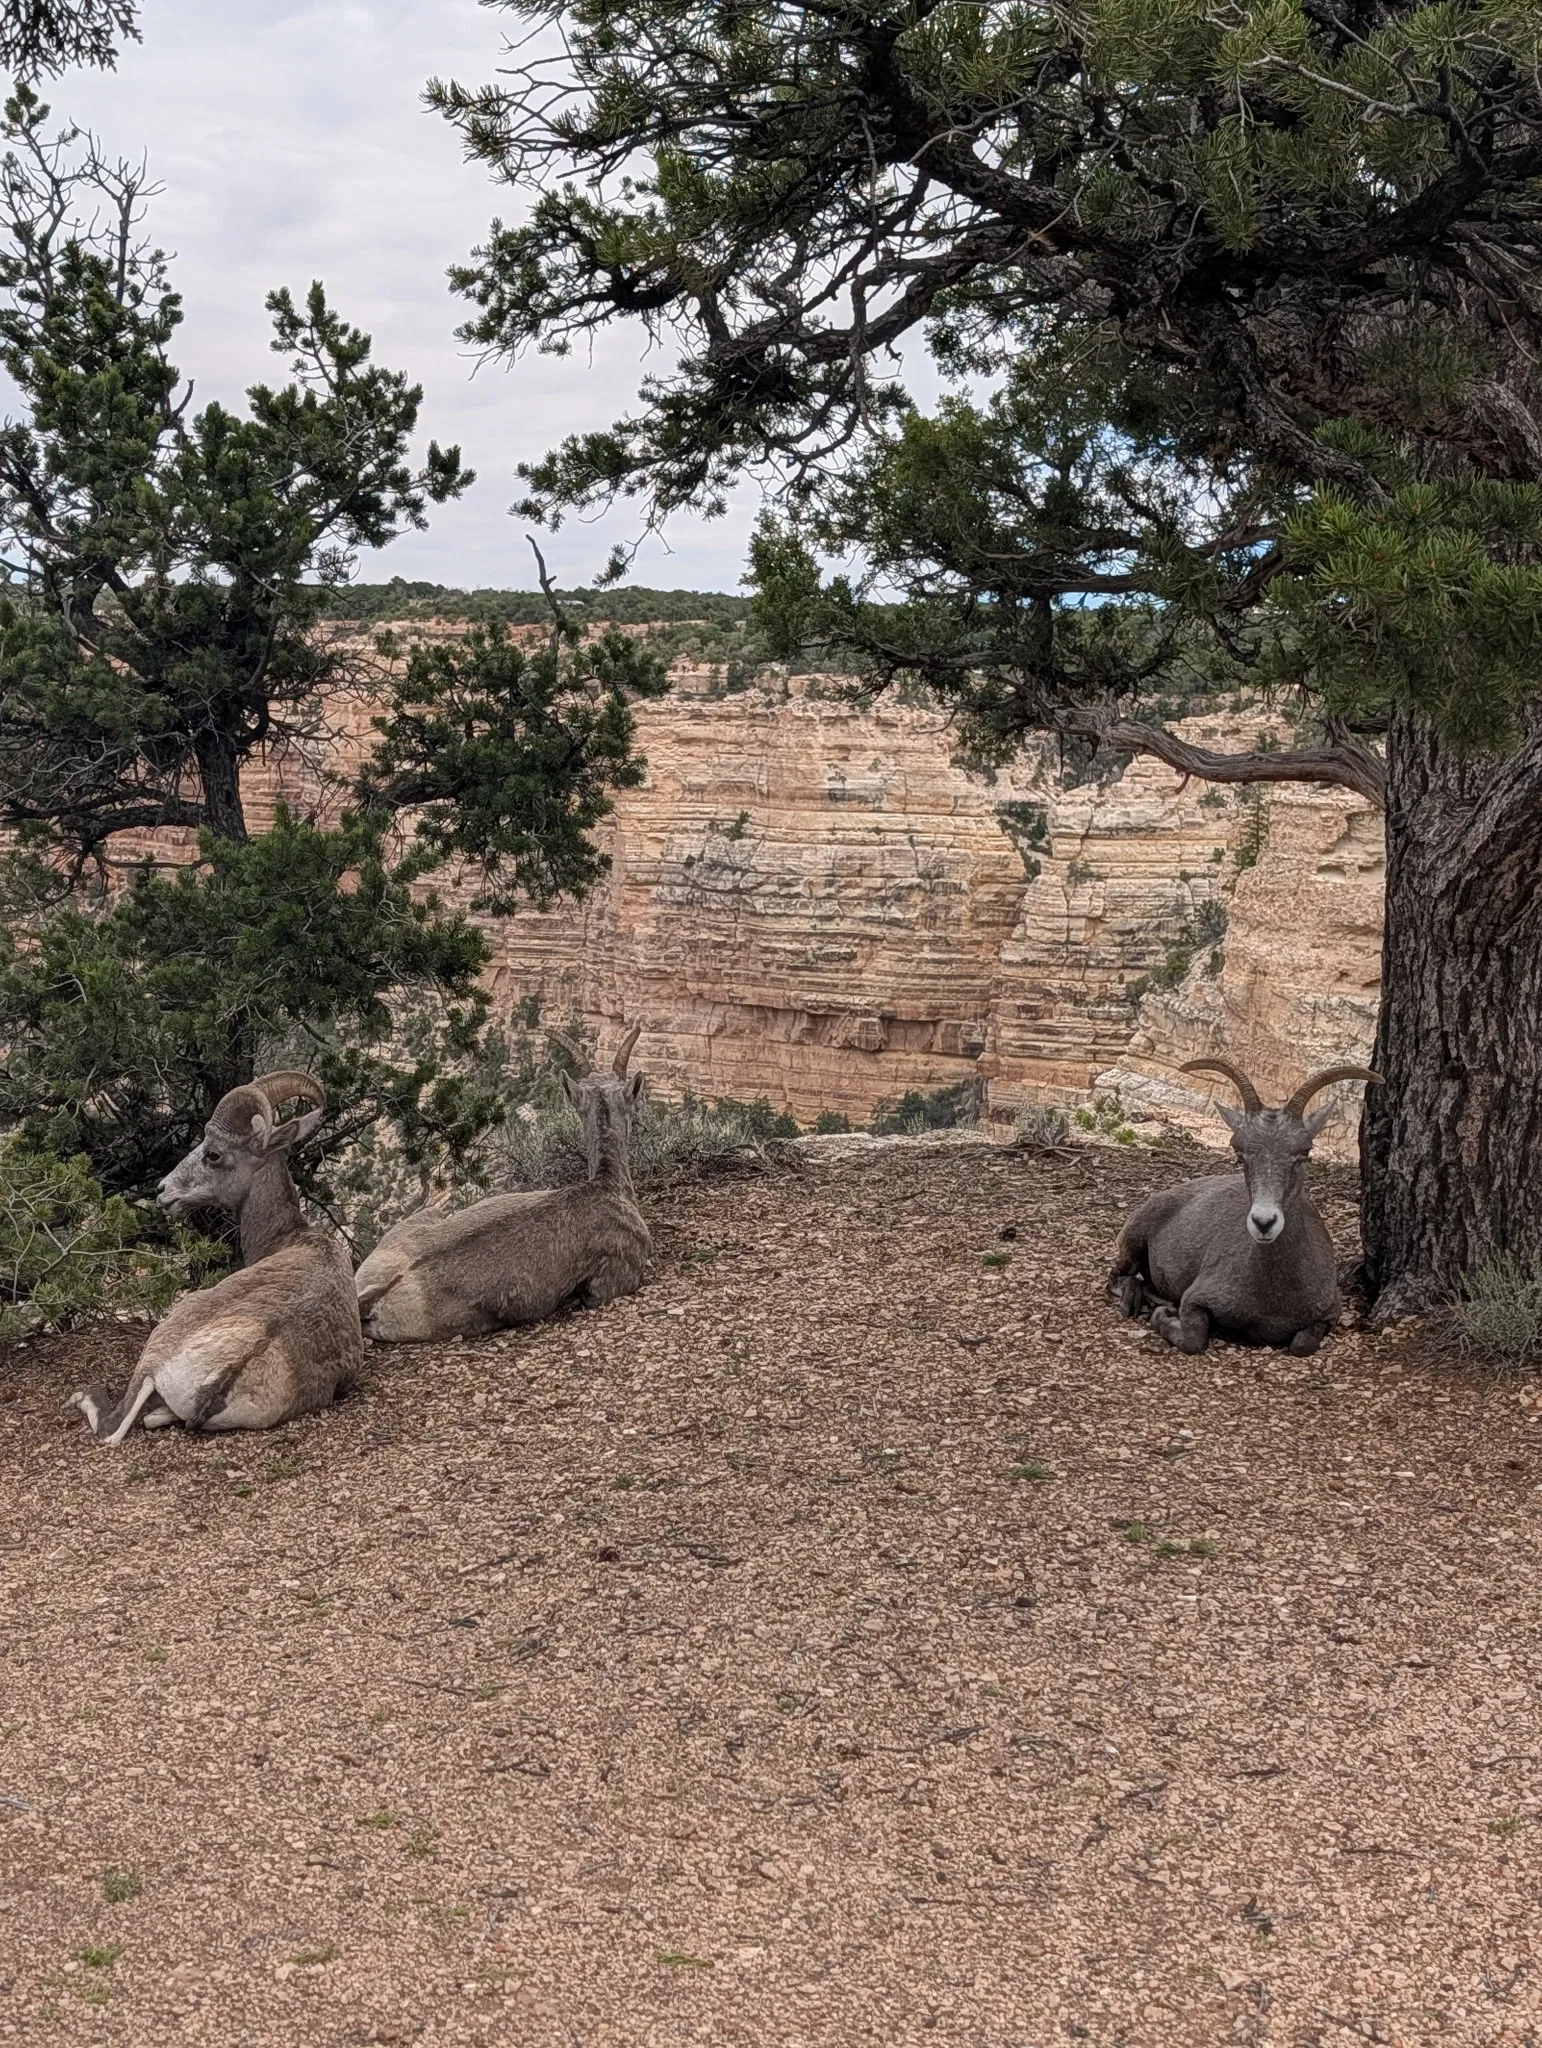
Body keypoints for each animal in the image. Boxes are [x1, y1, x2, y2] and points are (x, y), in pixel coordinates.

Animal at [69, 1072, 362, 1445]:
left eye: (213, 1154)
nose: (162, 1191)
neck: (291, 1238)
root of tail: (226, 1375)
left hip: (161, 1339)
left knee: (113, 1427)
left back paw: (82, 1396)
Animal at [1108, 1059, 1381, 1356]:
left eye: (1305, 1152)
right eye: (1239, 1153)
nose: (1264, 1222)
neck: (1271, 1299)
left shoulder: (1328, 1314)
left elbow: (1302, 1345)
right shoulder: (1195, 1298)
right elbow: (1194, 1339)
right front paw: (1164, 1315)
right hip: (1134, 1239)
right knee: (1116, 1275)